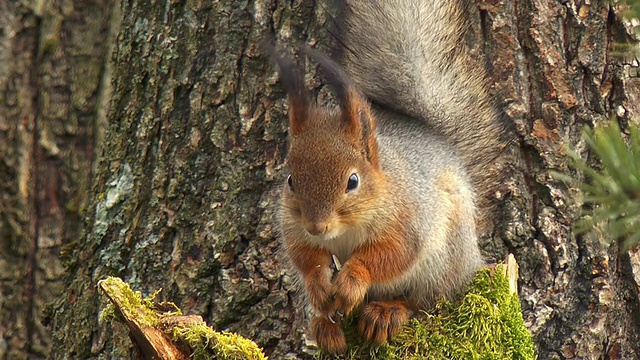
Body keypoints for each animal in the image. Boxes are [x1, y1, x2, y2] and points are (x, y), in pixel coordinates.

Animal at [268, 0, 504, 352]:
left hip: (444, 261)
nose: (317, 226)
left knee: (425, 302)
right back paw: (326, 326)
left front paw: (352, 281)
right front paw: (319, 284)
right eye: (290, 180)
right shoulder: (294, 227)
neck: (345, 230)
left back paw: (388, 311)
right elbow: (306, 257)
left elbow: (390, 254)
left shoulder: (408, 218)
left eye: (353, 181)